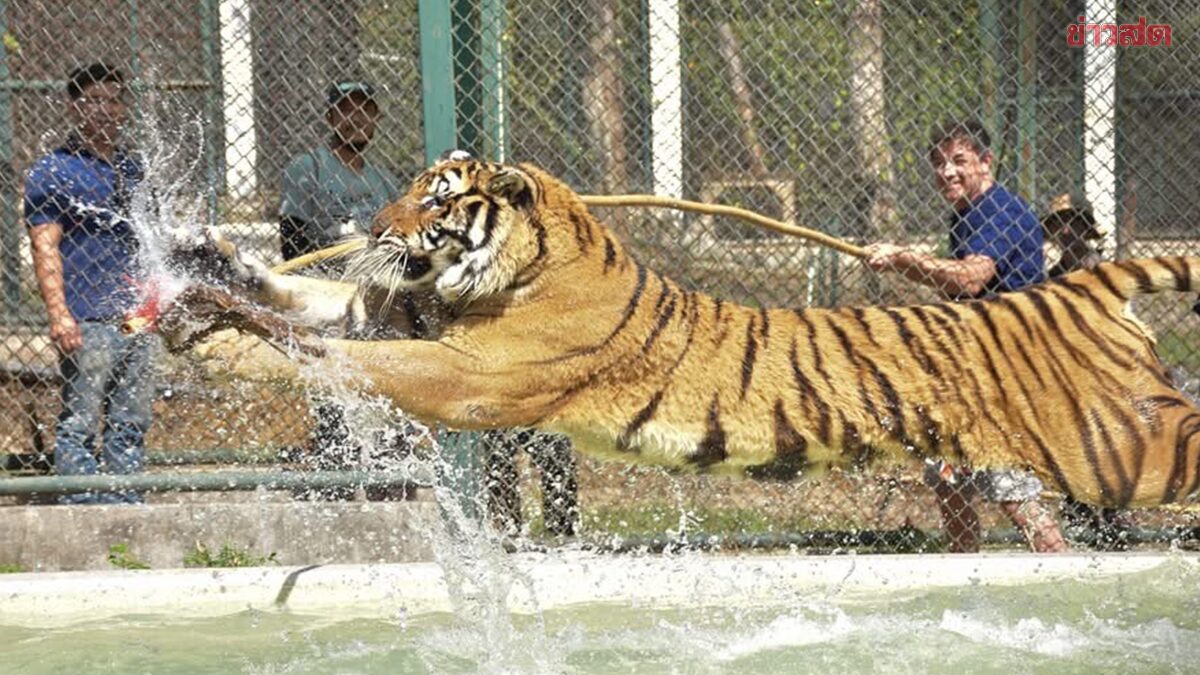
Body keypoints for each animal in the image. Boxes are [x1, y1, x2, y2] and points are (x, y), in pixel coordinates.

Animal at [168, 157, 1200, 509]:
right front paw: (202, 275)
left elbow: (330, 347)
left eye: (436, 199)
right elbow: (313, 303)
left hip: (1122, 447)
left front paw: (230, 321)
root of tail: (1070, 289)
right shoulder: (411, 311)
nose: (376, 230)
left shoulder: (469, 373)